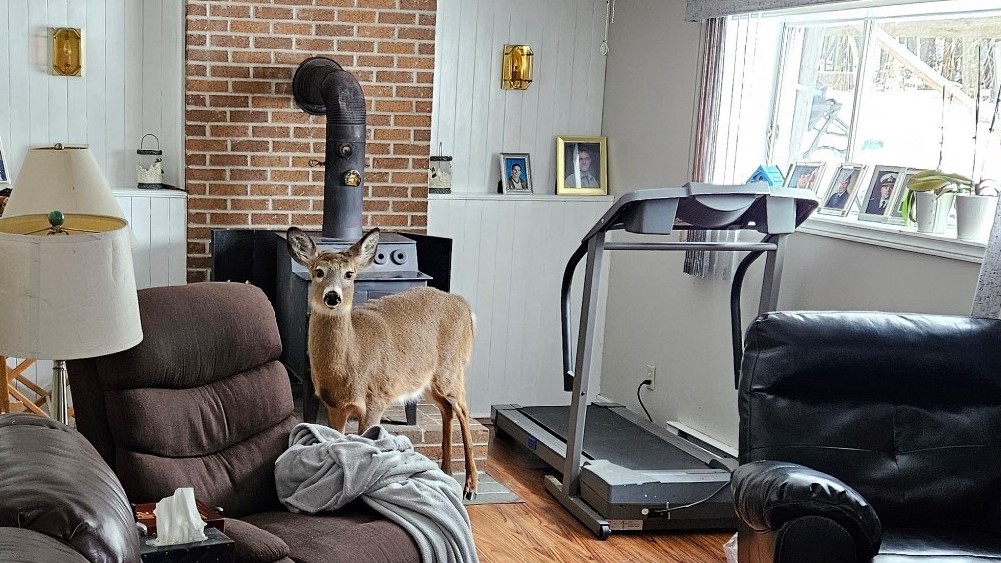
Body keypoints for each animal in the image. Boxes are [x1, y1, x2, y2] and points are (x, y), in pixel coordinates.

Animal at [286, 226, 479, 498]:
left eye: (349, 274)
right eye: (318, 271)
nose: (332, 297)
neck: (352, 359)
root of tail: (464, 306)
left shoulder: (376, 398)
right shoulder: (334, 405)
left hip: (450, 368)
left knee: (463, 409)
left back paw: (470, 486)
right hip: (427, 381)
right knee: (447, 409)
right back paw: (447, 472)